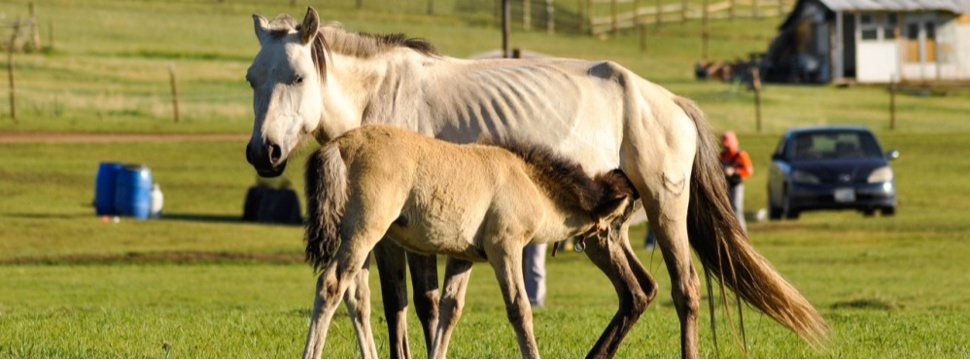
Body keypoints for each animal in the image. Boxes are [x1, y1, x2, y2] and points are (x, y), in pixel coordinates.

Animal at [302, 124, 636, 358]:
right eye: (618, 222)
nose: (622, 254)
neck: (526, 180)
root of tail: (338, 146)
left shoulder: (463, 258)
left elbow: (449, 310)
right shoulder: (505, 248)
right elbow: (520, 309)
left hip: (362, 241)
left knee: (356, 296)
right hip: (364, 233)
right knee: (331, 285)